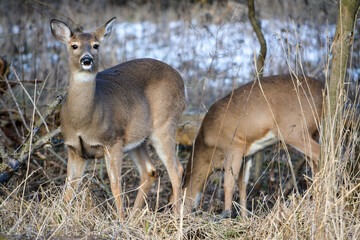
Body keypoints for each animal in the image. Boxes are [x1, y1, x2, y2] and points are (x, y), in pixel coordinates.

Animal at [50, 17, 186, 218]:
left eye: (96, 45)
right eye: (74, 45)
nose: (87, 60)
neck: (83, 121)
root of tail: (181, 80)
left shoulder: (112, 141)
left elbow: (115, 184)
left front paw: (119, 220)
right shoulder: (74, 149)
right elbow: (70, 186)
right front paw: (59, 217)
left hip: (164, 124)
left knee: (176, 169)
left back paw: (176, 217)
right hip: (137, 139)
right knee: (150, 171)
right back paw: (135, 217)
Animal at [176, 74, 324, 218]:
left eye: (173, 205)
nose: (176, 217)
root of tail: (323, 90)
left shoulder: (234, 146)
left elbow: (228, 183)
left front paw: (226, 214)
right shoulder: (247, 155)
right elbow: (243, 184)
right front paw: (244, 218)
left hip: (294, 130)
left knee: (320, 154)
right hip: (313, 133)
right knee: (315, 163)